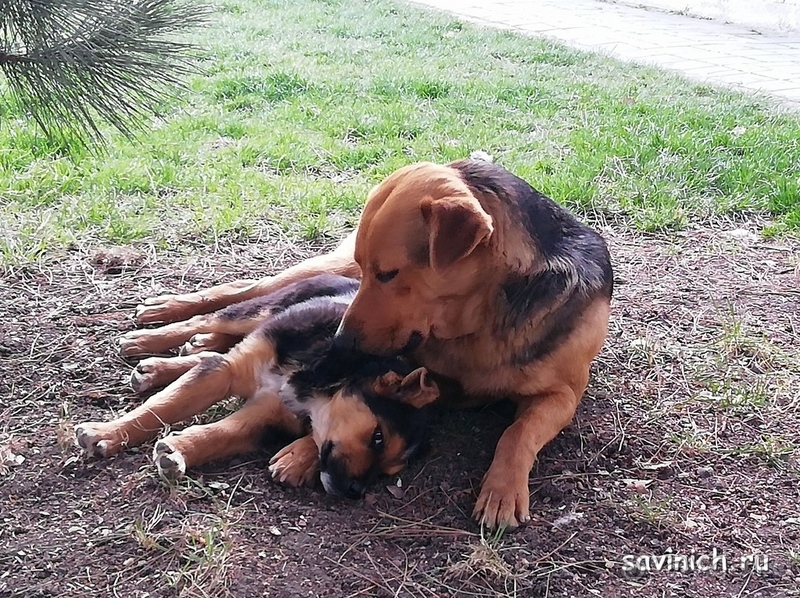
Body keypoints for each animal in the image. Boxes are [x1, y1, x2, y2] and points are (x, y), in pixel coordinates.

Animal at [74, 276, 438, 496]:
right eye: (378, 437)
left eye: (389, 472)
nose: (354, 494)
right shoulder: (229, 371)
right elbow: (161, 408)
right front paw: (106, 433)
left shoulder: (267, 413)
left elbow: (221, 433)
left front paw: (179, 451)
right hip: (261, 310)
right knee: (209, 319)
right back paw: (147, 335)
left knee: (207, 350)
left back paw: (158, 366)